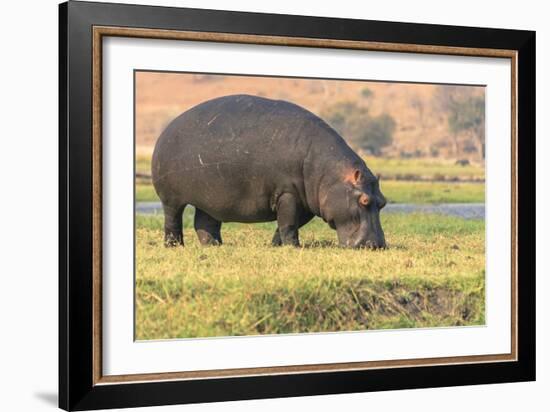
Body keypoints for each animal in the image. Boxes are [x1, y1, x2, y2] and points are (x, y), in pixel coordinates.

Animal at [152, 94, 388, 248]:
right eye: (364, 200)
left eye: (383, 202)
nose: (376, 245)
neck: (331, 175)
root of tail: (167, 129)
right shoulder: (287, 193)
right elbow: (288, 223)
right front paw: (294, 247)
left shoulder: (306, 203)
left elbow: (288, 224)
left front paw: (277, 245)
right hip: (171, 198)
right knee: (172, 220)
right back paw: (174, 246)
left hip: (209, 198)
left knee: (205, 222)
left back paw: (214, 245)